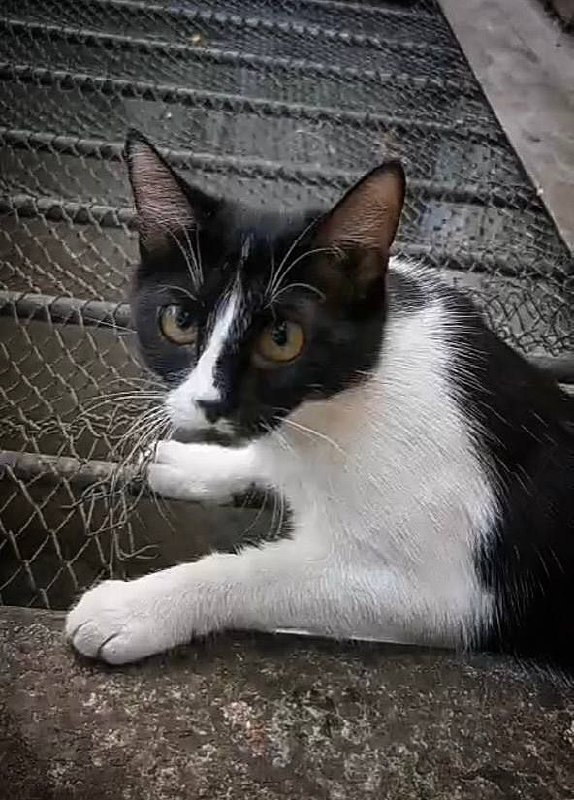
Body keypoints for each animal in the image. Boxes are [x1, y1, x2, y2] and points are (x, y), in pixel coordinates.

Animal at [66, 130, 574, 668]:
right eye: (179, 321)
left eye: (282, 338)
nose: (210, 403)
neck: (338, 404)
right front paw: (191, 462)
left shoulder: (453, 596)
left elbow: (262, 574)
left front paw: (133, 607)